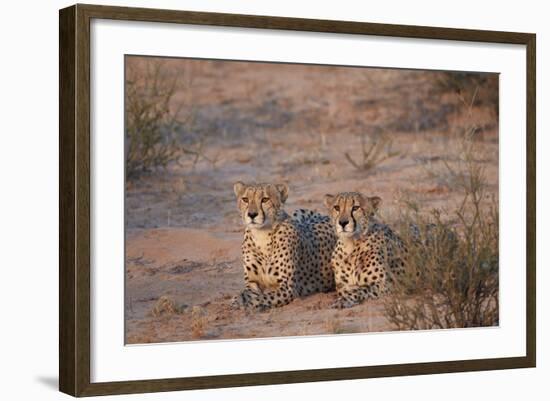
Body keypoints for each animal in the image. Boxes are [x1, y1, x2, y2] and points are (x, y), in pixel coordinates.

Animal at [233, 181, 336, 310]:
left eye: (265, 199)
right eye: (245, 199)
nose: (252, 214)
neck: (261, 235)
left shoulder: (287, 287)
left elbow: (264, 297)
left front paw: (251, 304)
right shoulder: (252, 282)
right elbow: (247, 292)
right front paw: (239, 298)